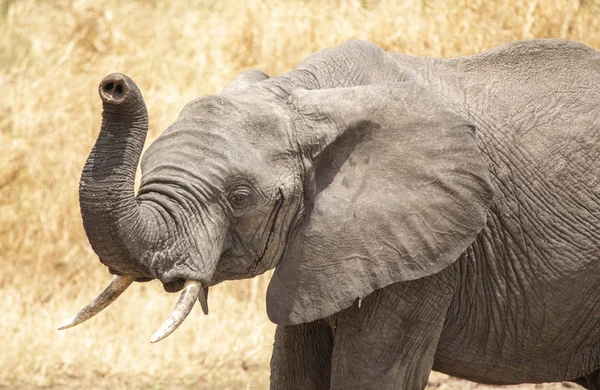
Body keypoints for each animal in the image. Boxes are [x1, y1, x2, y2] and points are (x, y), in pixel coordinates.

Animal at [61, 37, 600, 390]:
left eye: (240, 197)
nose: (114, 84)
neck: (306, 96)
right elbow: (294, 369)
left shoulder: (428, 254)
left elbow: (370, 375)